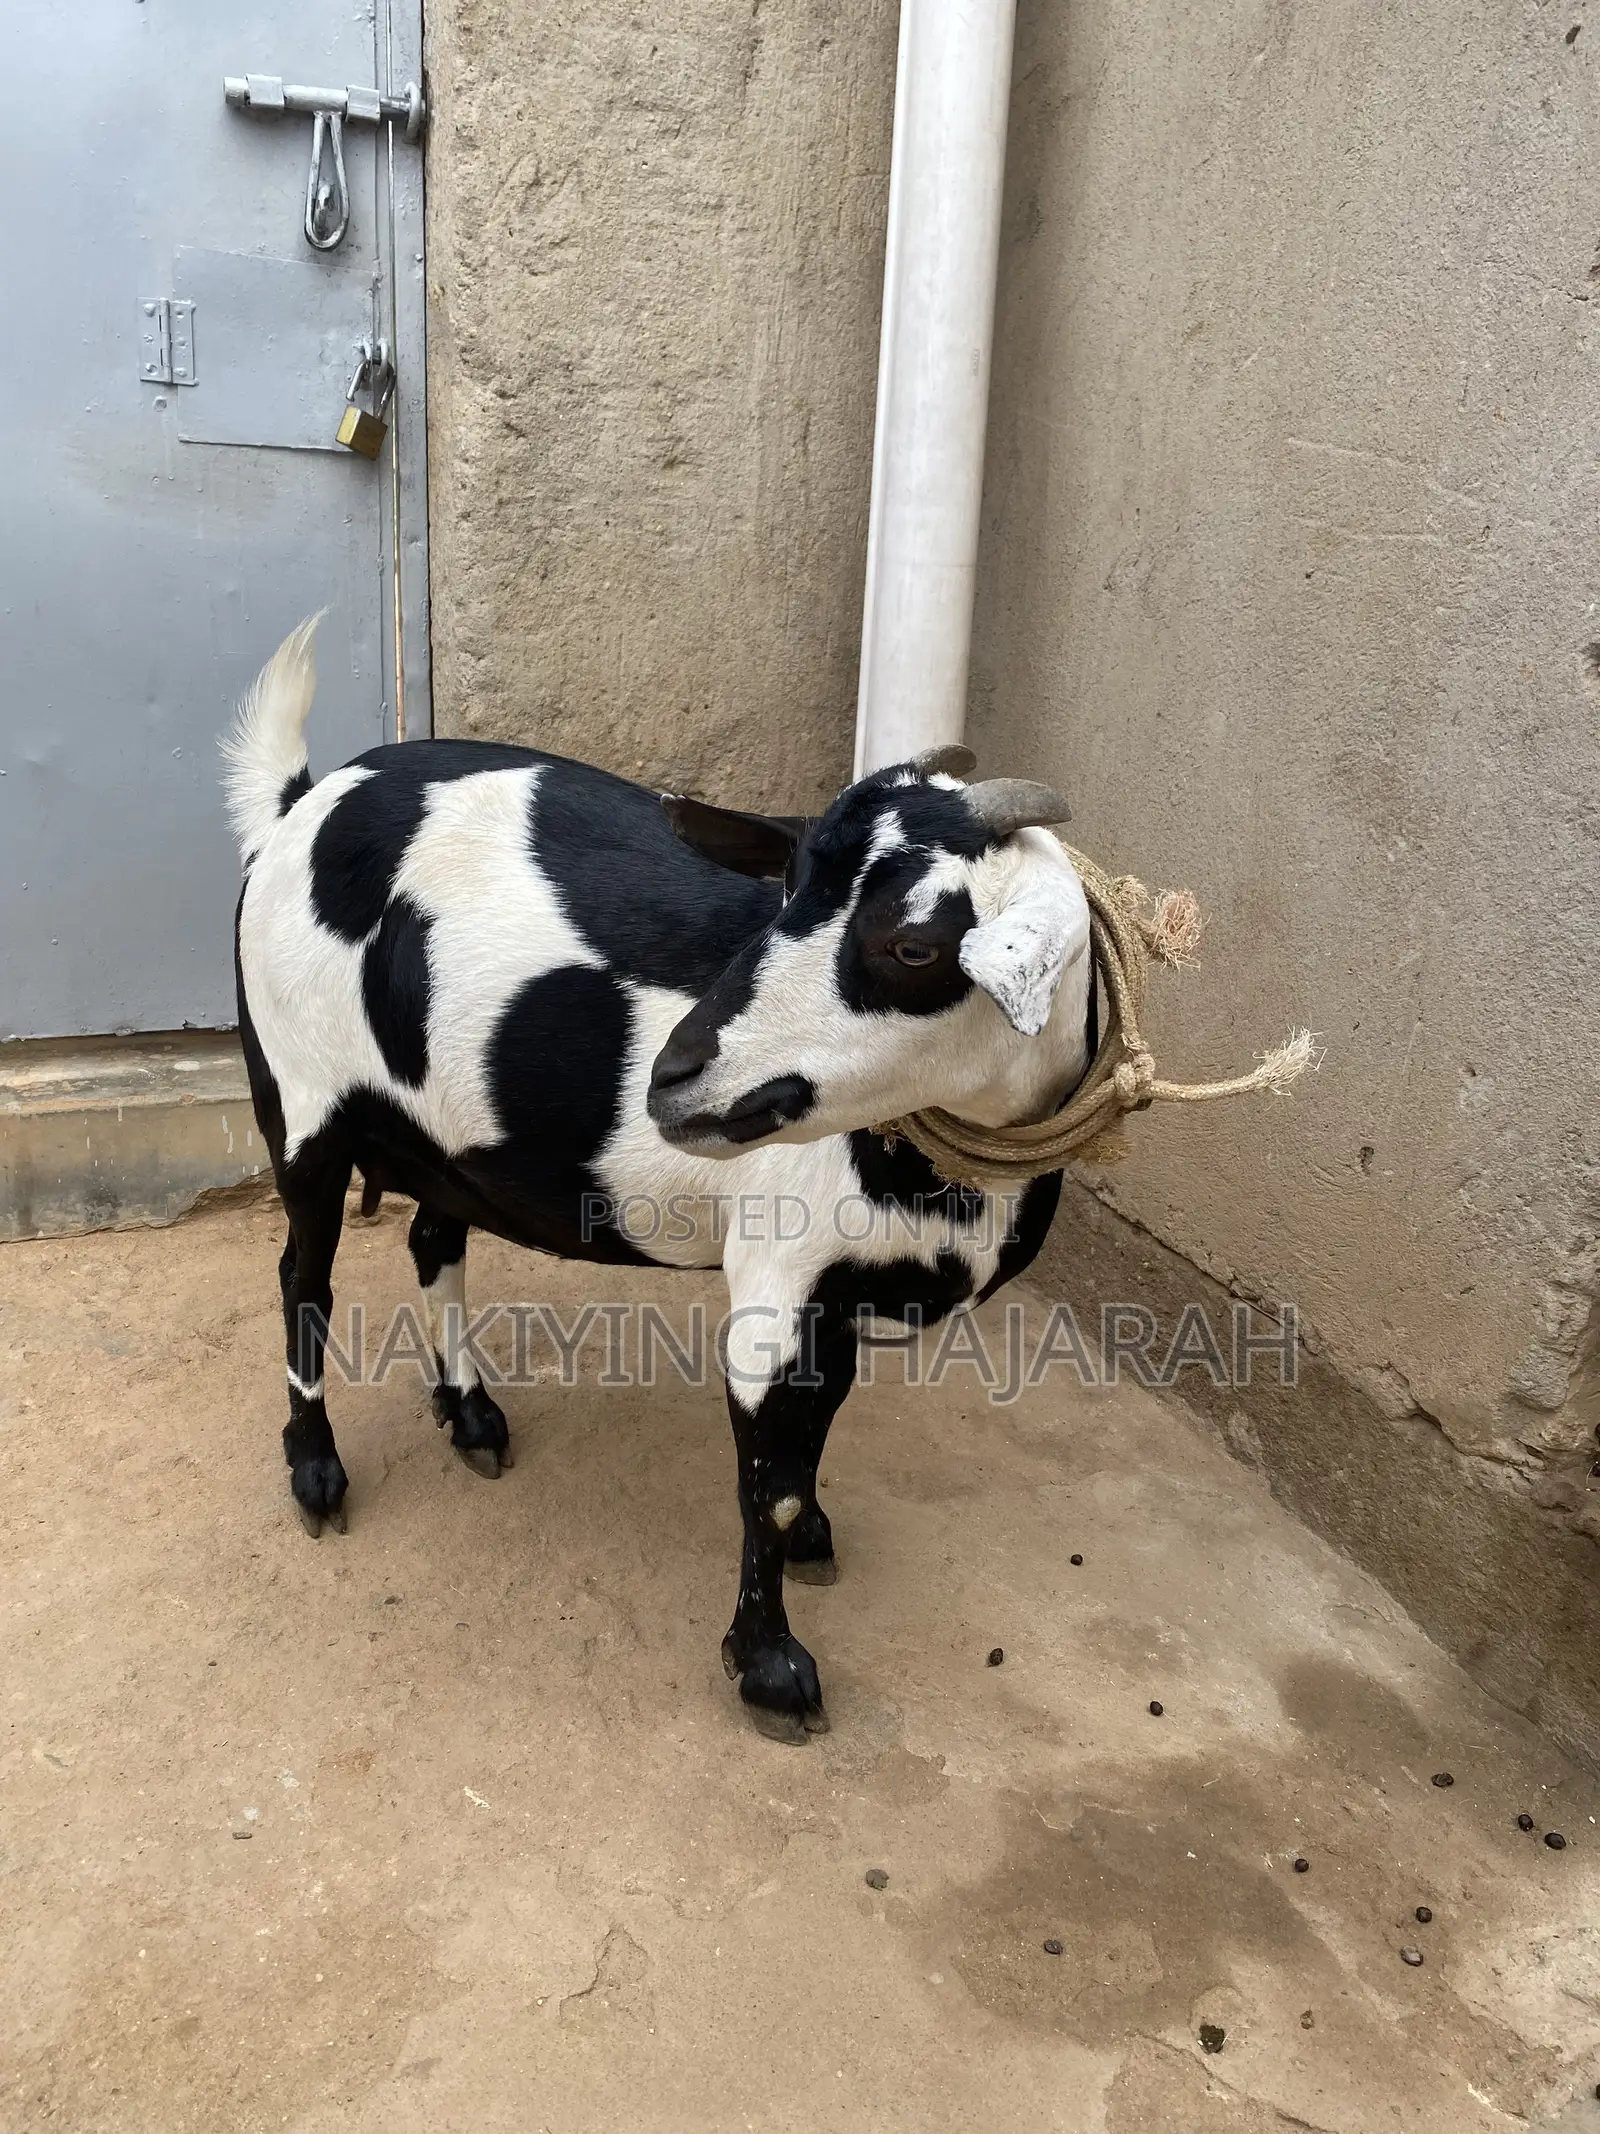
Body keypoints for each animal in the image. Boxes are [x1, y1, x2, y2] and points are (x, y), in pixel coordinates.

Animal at [226, 620, 1093, 1739]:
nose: (674, 1078)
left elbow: (814, 1439)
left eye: (913, 945)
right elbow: (767, 1480)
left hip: (447, 1135)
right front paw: (769, 1667)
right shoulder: (778, 1279)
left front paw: (812, 1535)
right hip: (300, 1094)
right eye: (782, 894)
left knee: (431, 1237)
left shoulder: (835, 1289)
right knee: (305, 1278)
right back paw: (316, 1470)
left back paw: (470, 1415)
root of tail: (299, 803)